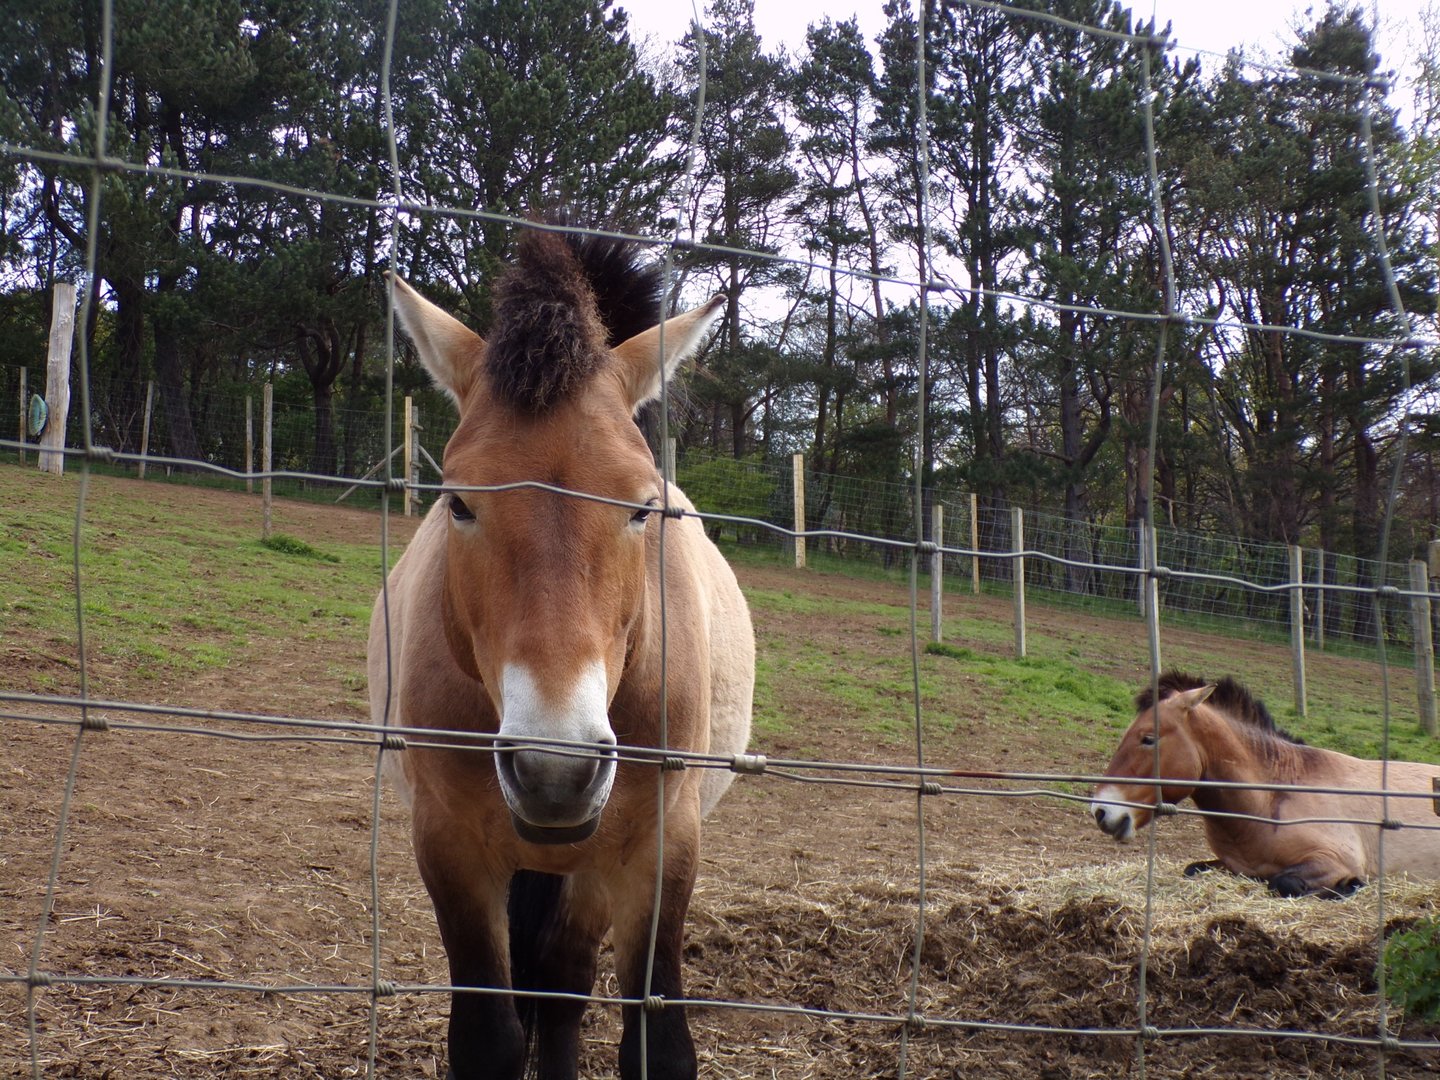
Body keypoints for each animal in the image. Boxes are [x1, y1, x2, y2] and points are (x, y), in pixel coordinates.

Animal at [367, 225, 755, 1079]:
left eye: (643, 506)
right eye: (458, 502)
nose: (556, 769)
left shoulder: (661, 848)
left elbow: (655, 1044)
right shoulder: (450, 847)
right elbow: (488, 1038)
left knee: (563, 979)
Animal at [1090, 671, 1440, 898]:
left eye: (1148, 738)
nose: (1101, 811)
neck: (1273, 799)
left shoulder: (1331, 860)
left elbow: (1283, 883)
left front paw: (1350, 886)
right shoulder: (1233, 865)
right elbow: (1193, 869)